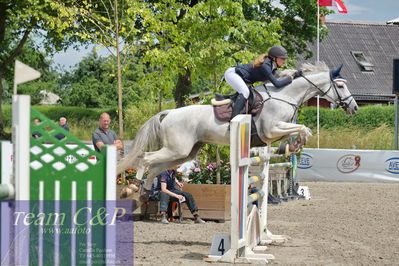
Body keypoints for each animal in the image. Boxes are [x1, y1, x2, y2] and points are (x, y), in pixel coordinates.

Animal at [118, 62, 360, 195]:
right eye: (340, 85)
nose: (354, 108)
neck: (284, 95)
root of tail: (168, 113)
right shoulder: (270, 130)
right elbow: (303, 128)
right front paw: (295, 145)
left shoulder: (275, 131)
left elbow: (301, 129)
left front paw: (291, 147)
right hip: (177, 149)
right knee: (147, 159)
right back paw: (133, 187)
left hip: (186, 152)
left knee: (157, 167)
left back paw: (145, 190)